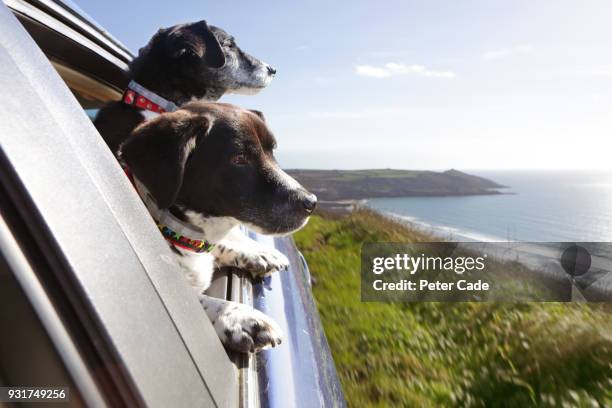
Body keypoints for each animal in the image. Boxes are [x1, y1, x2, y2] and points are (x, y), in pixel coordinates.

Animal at [118, 103, 316, 354]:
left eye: (272, 151)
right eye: (239, 158)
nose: (311, 202)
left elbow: (220, 246)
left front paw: (258, 254)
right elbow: (193, 302)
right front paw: (240, 318)